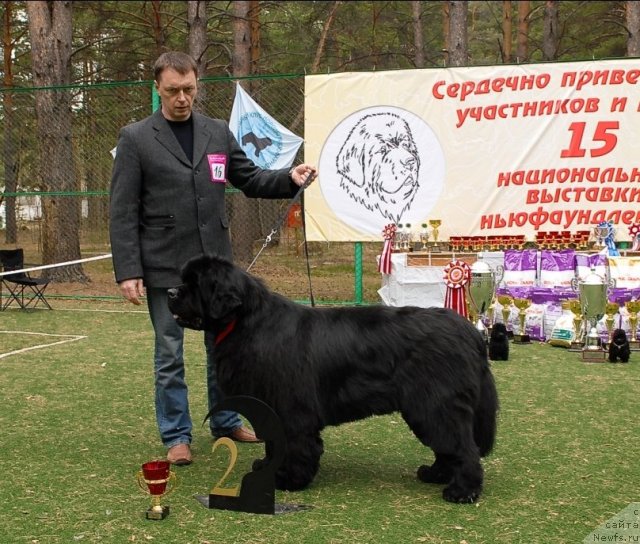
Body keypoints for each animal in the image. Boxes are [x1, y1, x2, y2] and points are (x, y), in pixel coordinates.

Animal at [168, 256, 498, 506]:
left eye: (194, 284)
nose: (170, 292)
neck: (246, 322)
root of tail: (469, 331)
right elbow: (274, 444)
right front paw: (267, 466)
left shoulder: (292, 410)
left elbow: (295, 445)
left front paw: (289, 479)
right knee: (448, 446)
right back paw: (435, 474)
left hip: (434, 405)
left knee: (463, 447)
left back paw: (462, 491)